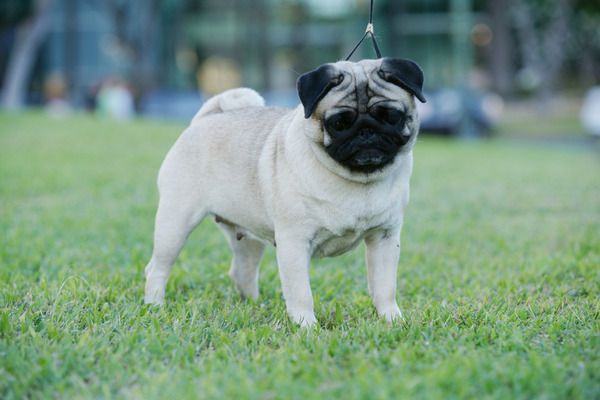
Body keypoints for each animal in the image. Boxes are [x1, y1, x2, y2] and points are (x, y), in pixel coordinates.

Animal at [144, 58, 426, 327]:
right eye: (338, 123)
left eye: (391, 116)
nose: (367, 132)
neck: (356, 180)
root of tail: (204, 119)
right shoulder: (294, 243)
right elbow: (300, 292)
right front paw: (306, 326)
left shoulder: (384, 238)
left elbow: (385, 287)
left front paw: (391, 320)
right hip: (175, 223)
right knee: (157, 267)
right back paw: (154, 305)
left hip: (247, 239)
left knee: (243, 271)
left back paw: (253, 306)